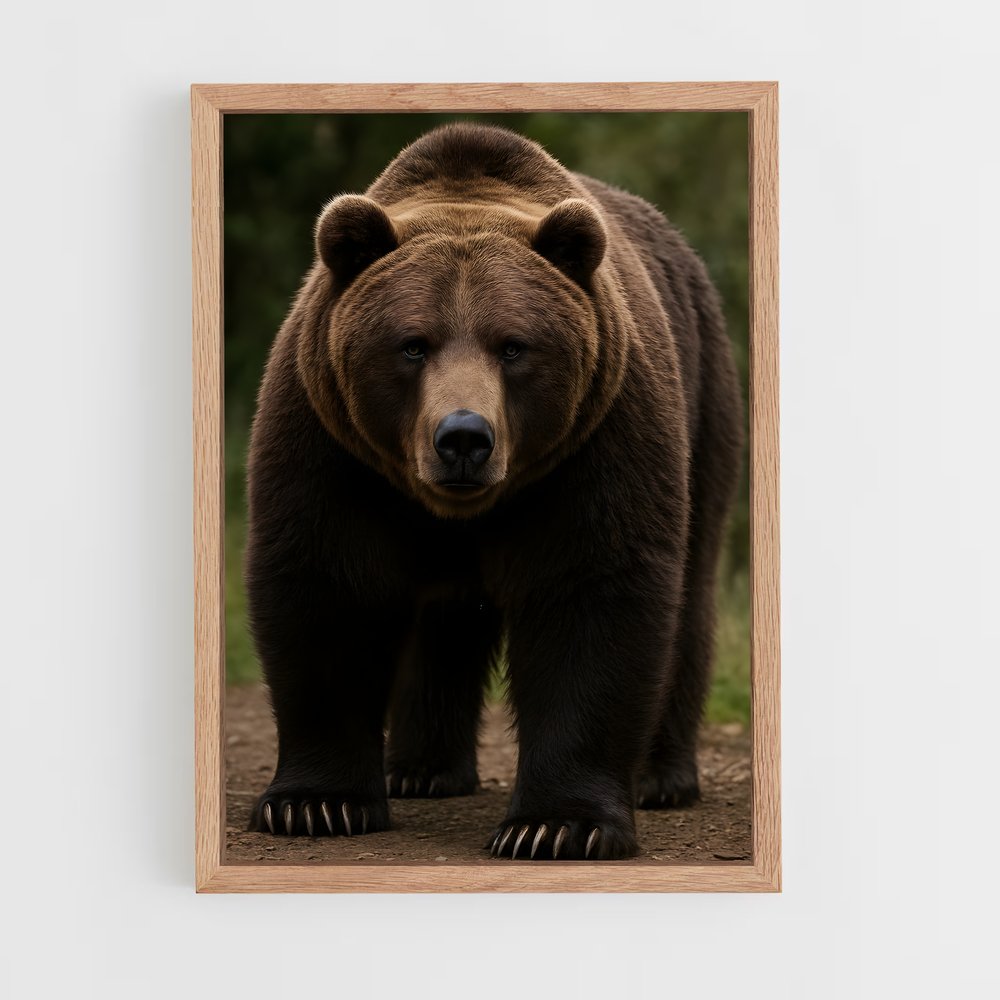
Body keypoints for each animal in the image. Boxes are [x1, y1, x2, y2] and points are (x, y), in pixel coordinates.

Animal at [244, 122, 743, 860]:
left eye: (513, 346)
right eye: (412, 344)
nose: (463, 437)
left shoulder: (597, 443)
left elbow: (591, 594)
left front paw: (557, 825)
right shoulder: (330, 445)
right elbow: (327, 586)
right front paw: (315, 803)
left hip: (704, 397)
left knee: (689, 587)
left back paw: (660, 776)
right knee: (444, 616)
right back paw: (419, 769)